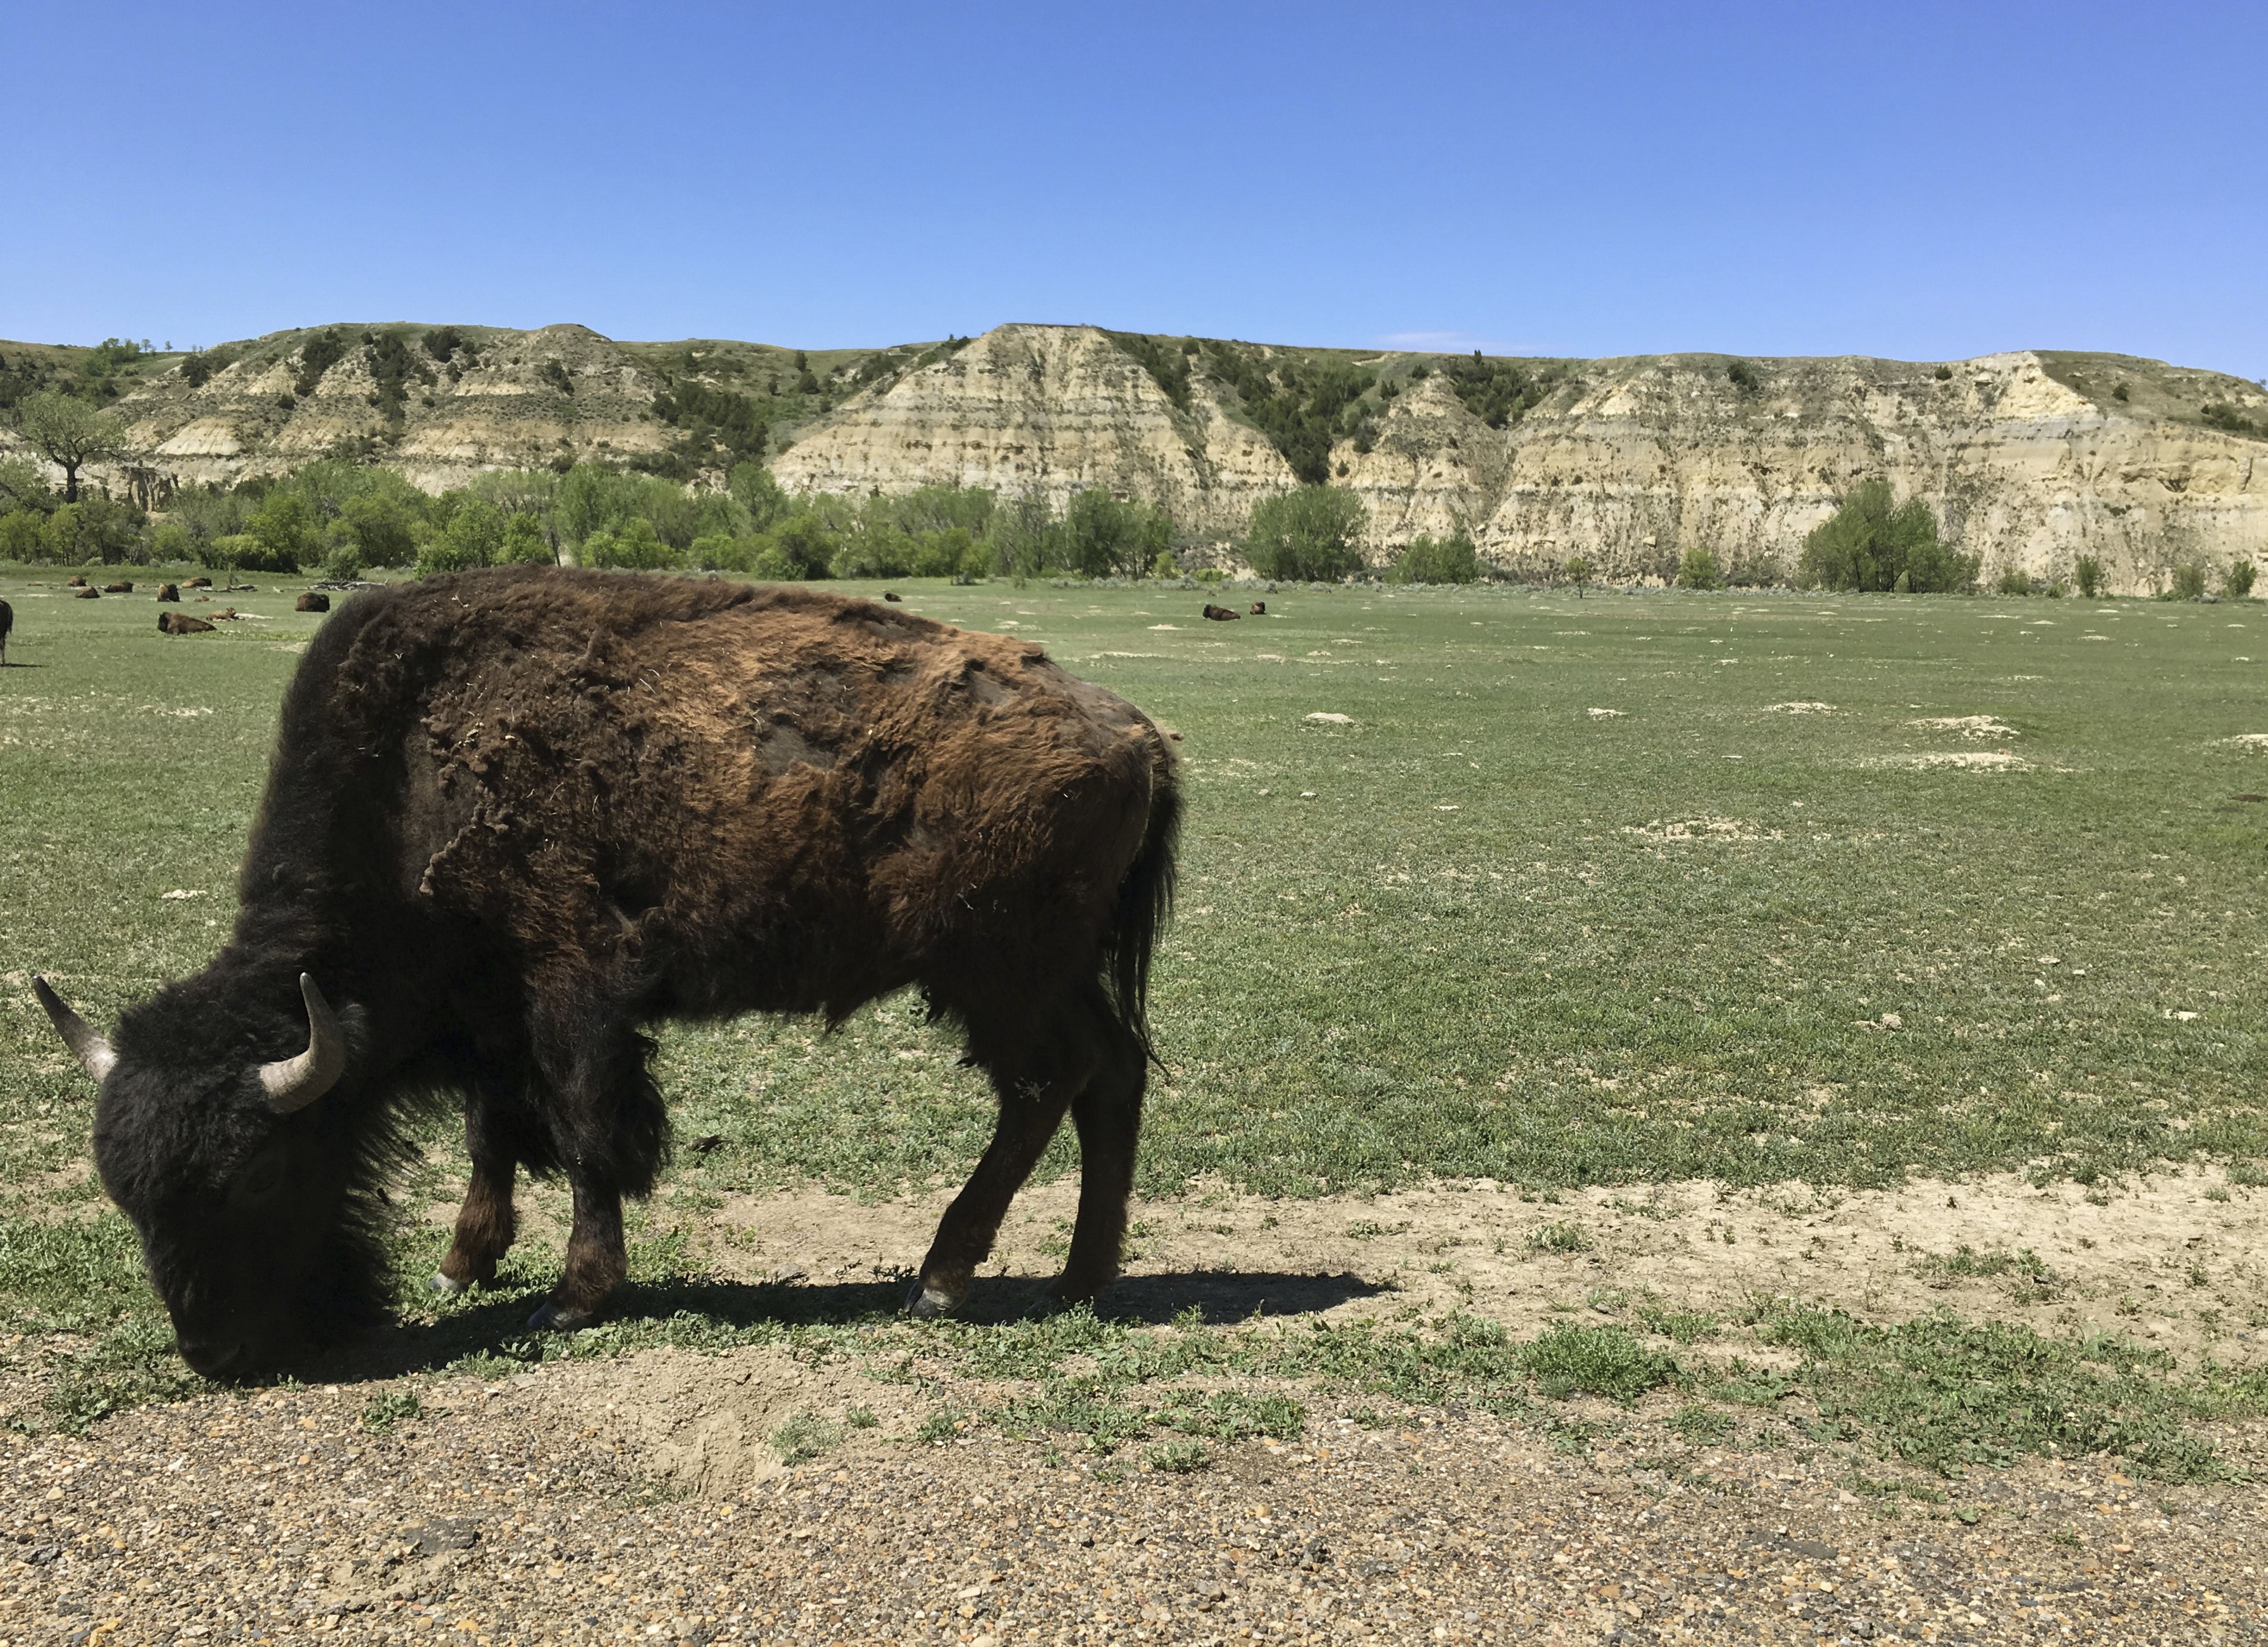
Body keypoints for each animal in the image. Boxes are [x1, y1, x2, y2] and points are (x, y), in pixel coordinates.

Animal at [35, 567, 1179, 1379]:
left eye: (263, 1173)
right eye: (125, 1195)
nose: (215, 1352)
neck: (409, 775)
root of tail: (1137, 734)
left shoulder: (572, 991)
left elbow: (587, 1134)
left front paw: (574, 1296)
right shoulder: (492, 1014)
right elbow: (496, 1132)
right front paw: (462, 1263)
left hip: (997, 976)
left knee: (1045, 1087)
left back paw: (942, 1280)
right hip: (1049, 974)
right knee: (1111, 1077)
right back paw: (1079, 1280)